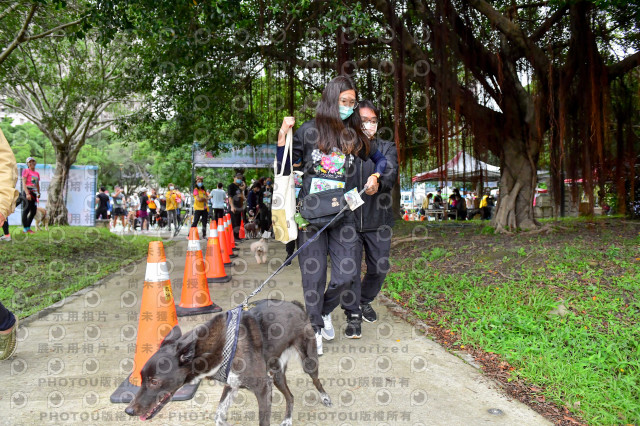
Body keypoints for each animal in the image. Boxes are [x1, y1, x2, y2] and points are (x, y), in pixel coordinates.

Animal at [124, 300, 330, 426]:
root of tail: (296, 305)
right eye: (141, 378)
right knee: (291, 396)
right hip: (276, 374)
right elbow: (219, 416)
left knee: (316, 380)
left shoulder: (263, 388)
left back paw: (325, 398)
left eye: (154, 382)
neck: (215, 347)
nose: (128, 410)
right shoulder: (232, 385)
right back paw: (287, 419)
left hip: (308, 362)